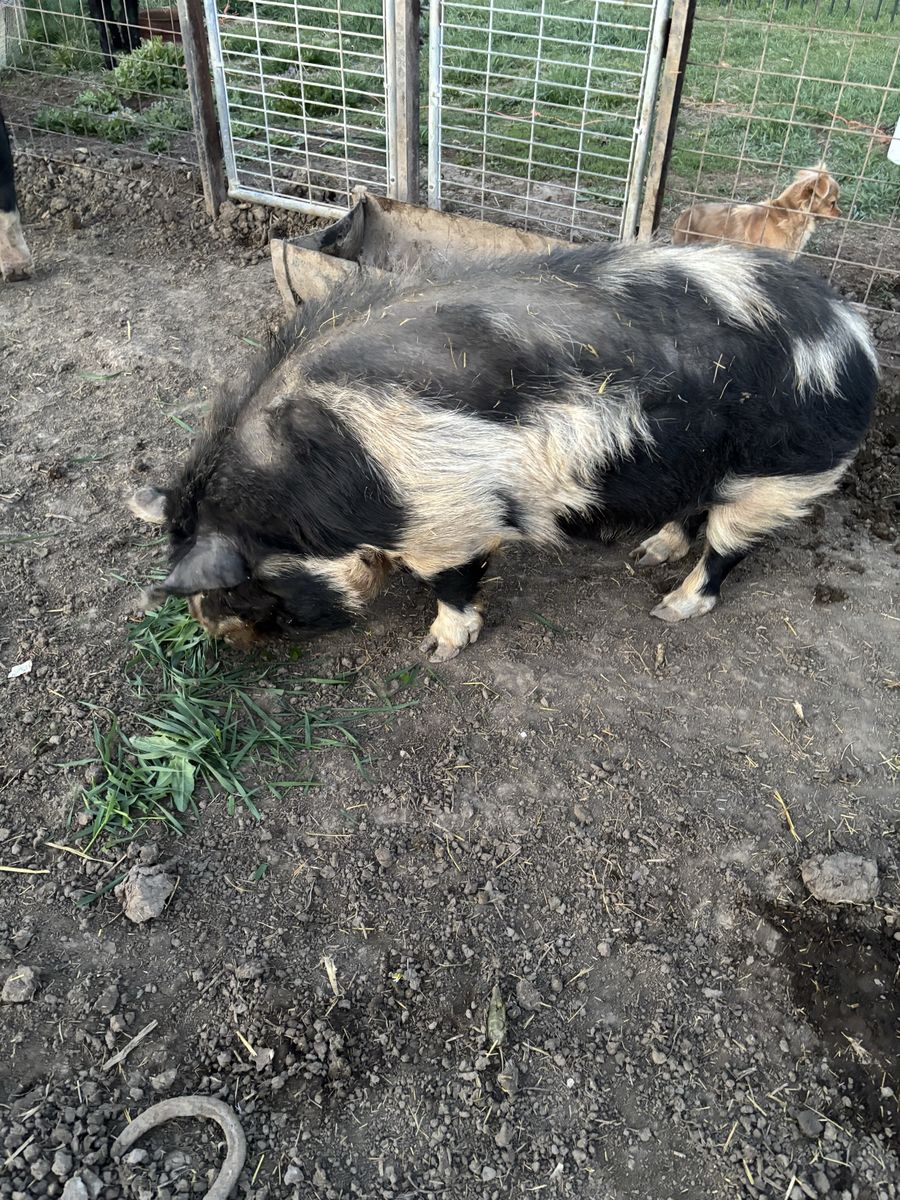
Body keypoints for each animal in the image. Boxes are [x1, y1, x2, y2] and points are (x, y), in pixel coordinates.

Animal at [130, 242, 878, 661]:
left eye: (243, 584)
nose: (225, 640)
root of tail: (854, 336)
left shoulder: (448, 511)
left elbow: (453, 584)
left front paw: (436, 652)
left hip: (781, 473)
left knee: (727, 551)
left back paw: (670, 607)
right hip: (701, 464)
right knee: (691, 513)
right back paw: (646, 554)